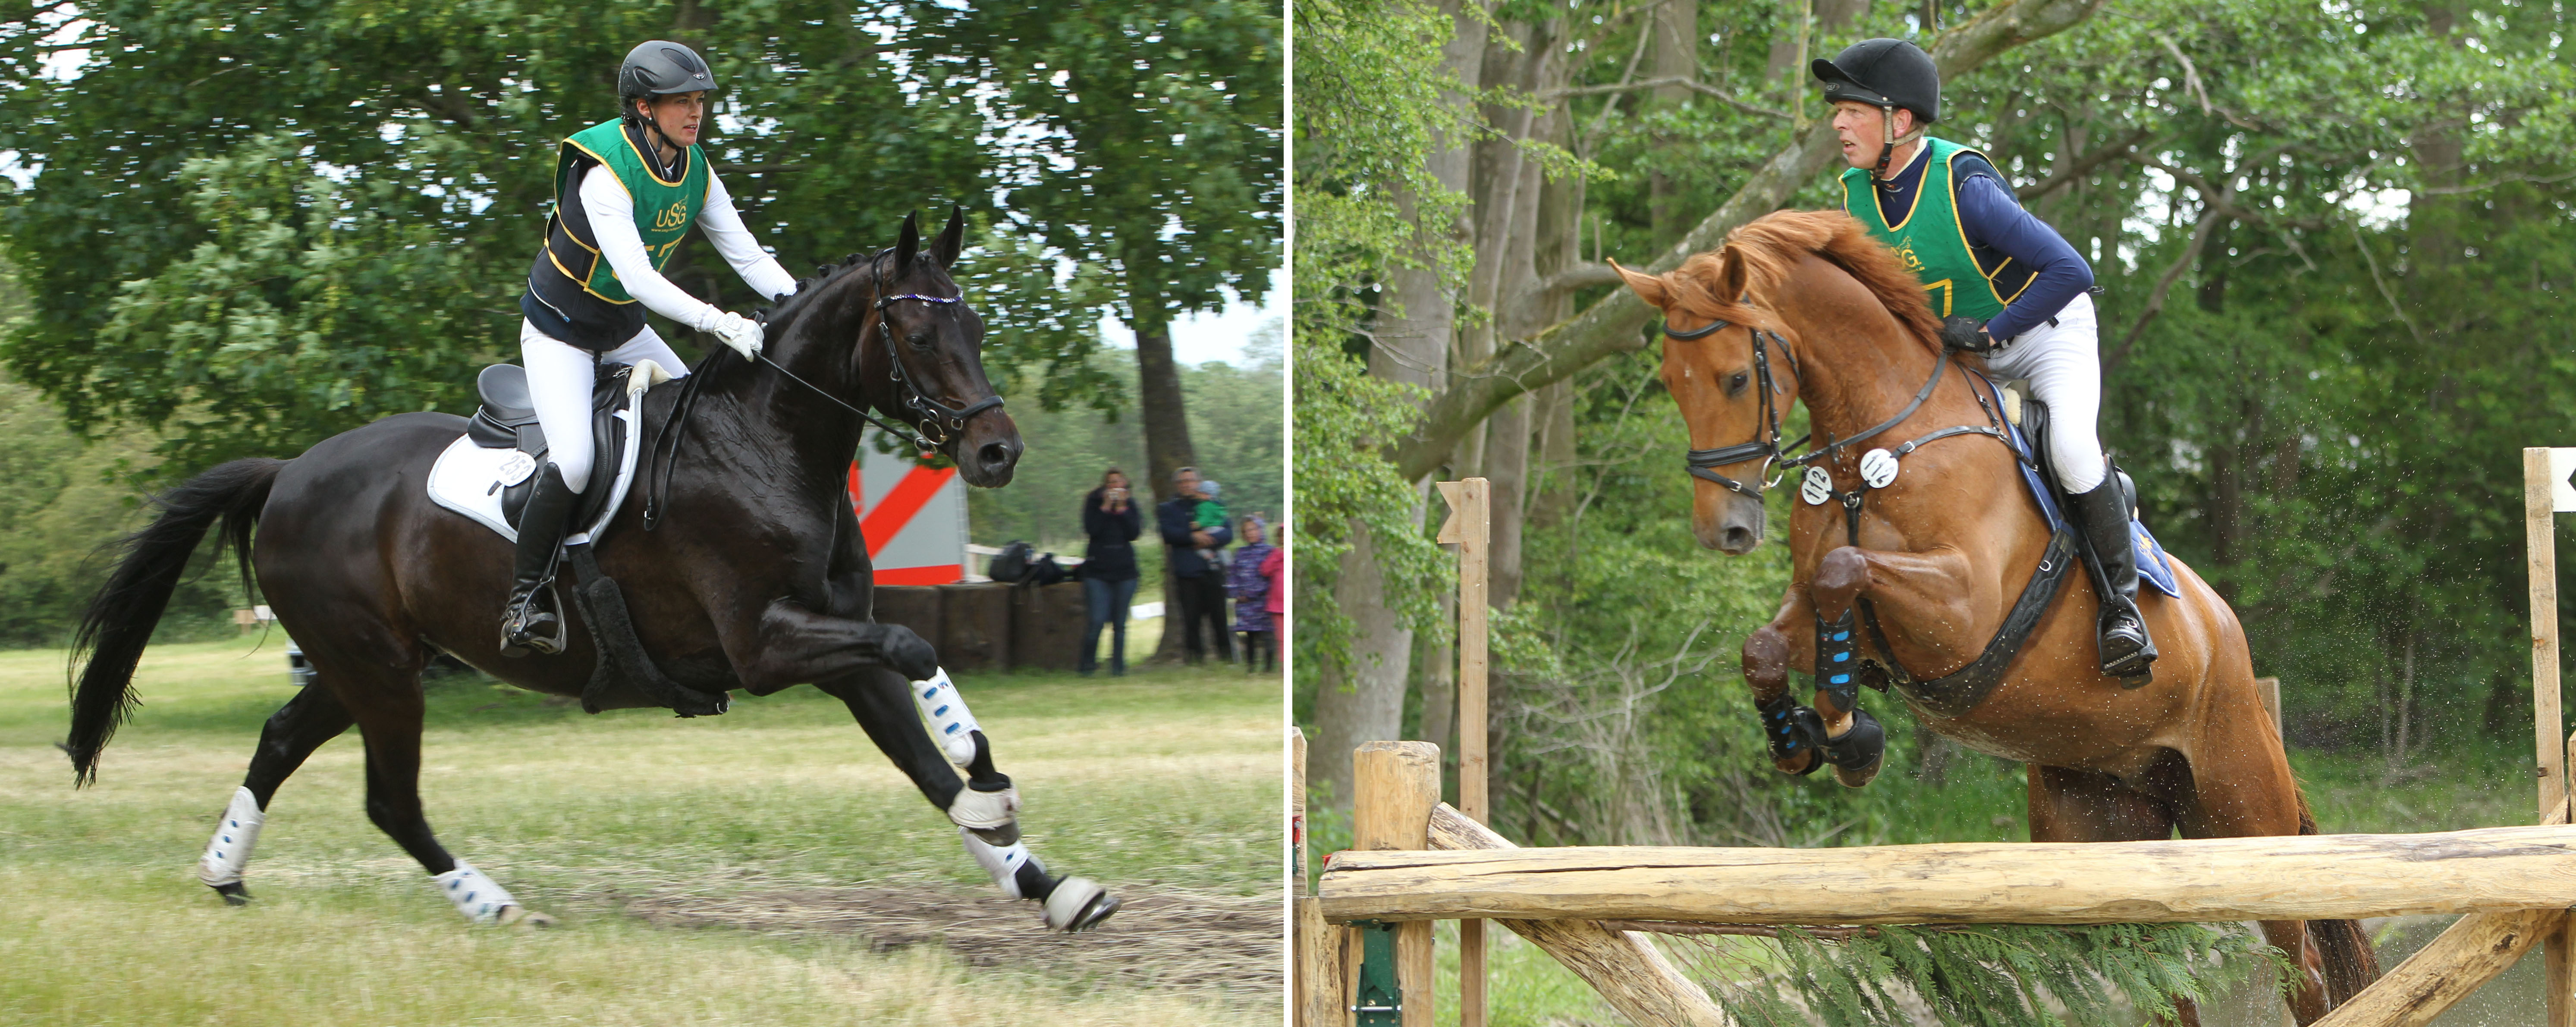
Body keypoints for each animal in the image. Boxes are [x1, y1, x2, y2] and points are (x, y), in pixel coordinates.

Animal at [63, 214, 1118, 937]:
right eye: (919, 333)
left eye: (973, 325)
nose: (996, 451)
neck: (770, 444)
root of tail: (288, 472)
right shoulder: (768, 644)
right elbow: (917, 650)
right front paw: (992, 781)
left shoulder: (836, 648)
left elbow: (923, 756)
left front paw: (1047, 882)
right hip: (380, 668)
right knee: (390, 799)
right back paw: (493, 905)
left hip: (367, 659)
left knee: (283, 740)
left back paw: (226, 874)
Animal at [1618, 211, 2380, 1027]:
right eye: (1669, 383)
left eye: (1735, 377)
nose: (1723, 530)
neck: (1871, 453)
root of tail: (2228, 637)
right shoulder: (1839, 610)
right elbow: (1767, 641)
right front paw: (1805, 740)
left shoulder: (1960, 611)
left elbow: (1842, 572)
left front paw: (1844, 725)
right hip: (2108, 822)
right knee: (2162, 976)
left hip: (2240, 805)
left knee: (2300, 963)